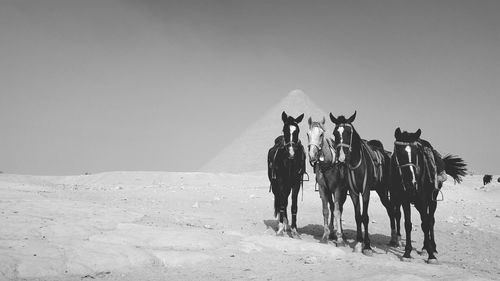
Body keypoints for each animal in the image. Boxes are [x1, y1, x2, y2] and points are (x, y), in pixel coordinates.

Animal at [304, 115, 348, 243]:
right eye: (308, 134)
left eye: (321, 134)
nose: (312, 155)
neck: (328, 163)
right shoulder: (323, 188)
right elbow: (325, 210)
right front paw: (325, 235)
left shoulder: (338, 189)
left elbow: (338, 211)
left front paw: (340, 238)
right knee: (332, 207)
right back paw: (332, 231)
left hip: (343, 191)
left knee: (339, 208)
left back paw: (341, 233)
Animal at [328, 111, 398, 254]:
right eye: (335, 132)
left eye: (349, 132)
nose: (341, 157)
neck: (356, 164)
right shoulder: (353, 192)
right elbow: (357, 216)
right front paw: (359, 242)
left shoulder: (365, 191)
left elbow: (365, 217)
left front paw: (367, 246)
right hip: (381, 190)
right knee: (389, 209)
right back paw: (393, 239)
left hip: (387, 190)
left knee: (391, 210)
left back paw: (395, 239)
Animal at [390, 128, 468, 264]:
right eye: (398, 153)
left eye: (416, 153)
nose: (411, 183)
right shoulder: (405, 200)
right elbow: (408, 224)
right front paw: (407, 253)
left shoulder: (423, 199)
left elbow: (426, 224)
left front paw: (431, 255)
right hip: (417, 203)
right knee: (424, 220)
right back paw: (425, 246)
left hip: (432, 201)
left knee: (430, 220)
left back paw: (431, 247)